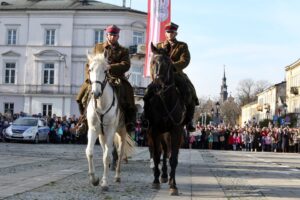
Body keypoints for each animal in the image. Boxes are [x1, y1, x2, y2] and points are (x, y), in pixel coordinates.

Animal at [85, 52, 135, 190]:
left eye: (105, 71)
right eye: (90, 69)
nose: (96, 93)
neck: (101, 105)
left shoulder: (110, 131)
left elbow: (107, 156)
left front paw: (104, 183)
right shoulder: (93, 130)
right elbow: (90, 152)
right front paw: (94, 179)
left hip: (121, 131)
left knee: (120, 152)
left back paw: (117, 176)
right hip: (102, 135)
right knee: (105, 150)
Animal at [145, 43, 186, 195]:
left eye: (168, 63)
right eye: (152, 62)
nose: (158, 82)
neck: (164, 99)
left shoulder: (175, 131)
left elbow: (173, 158)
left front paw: (173, 184)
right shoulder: (154, 130)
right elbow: (157, 155)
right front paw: (156, 181)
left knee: (168, 153)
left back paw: (166, 177)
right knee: (161, 152)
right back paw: (162, 175)